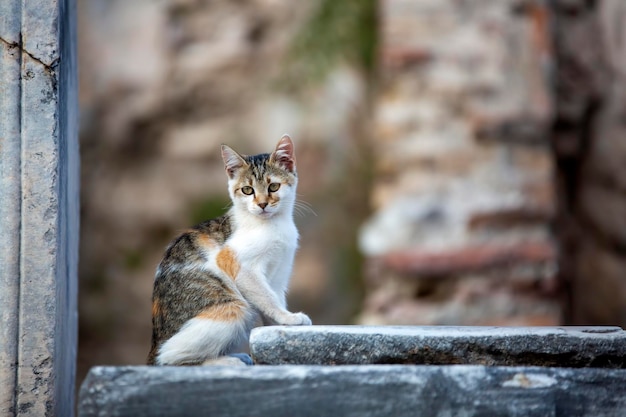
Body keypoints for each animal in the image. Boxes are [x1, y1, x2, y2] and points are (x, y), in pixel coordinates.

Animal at [147, 134, 312, 364]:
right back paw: (226, 360)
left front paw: (278, 329)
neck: (271, 225)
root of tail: (154, 343)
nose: (262, 204)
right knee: (170, 357)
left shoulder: (279, 273)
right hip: (233, 307)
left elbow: (274, 297)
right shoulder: (238, 266)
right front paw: (288, 318)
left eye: (273, 187)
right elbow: (268, 298)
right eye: (247, 190)